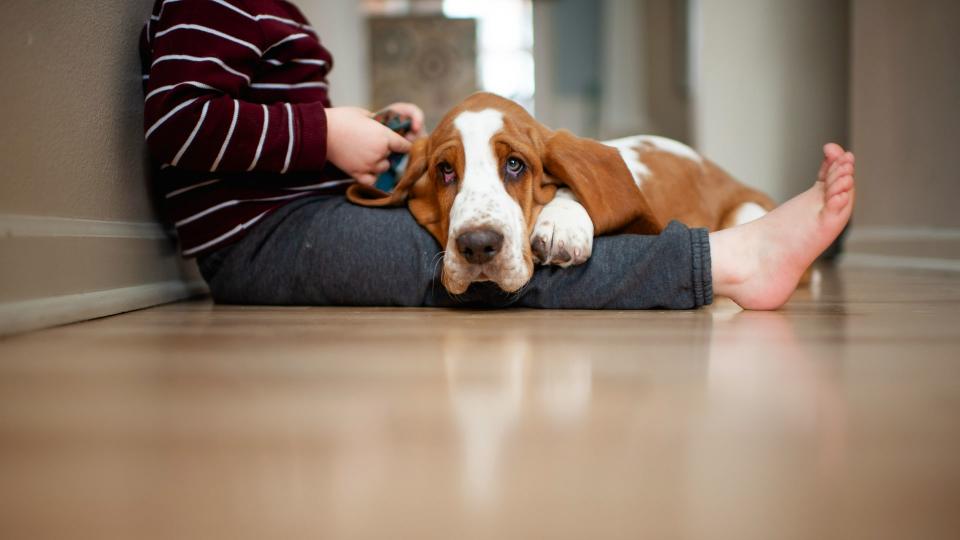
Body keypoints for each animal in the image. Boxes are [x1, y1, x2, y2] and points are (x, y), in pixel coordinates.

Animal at [344, 93, 772, 296]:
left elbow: (569, 186)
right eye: (445, 171)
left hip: (748, 209)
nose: (478, 246)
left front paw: (560, 225)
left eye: (515, 164)